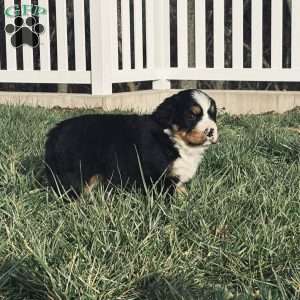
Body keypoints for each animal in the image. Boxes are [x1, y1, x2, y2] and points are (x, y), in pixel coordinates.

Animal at [45, 89, 218, 197]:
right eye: (191, 116)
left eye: (212, 114)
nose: (211, 131)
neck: (172, 138)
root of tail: (55, 131)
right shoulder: (160, 178)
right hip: (75, 172)